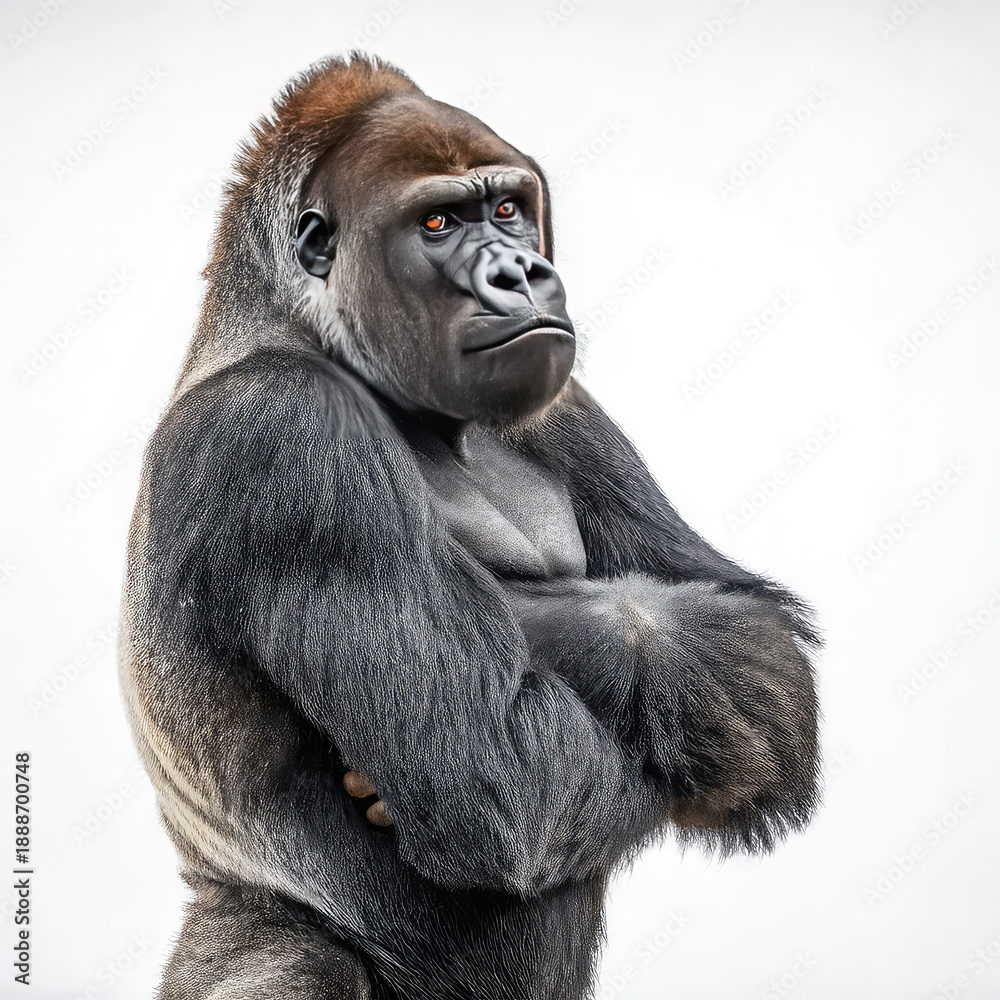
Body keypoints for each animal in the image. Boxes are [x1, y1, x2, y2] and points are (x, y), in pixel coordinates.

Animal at [119, 53, 820, 1000]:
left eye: (509, 209)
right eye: (438, 221)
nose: (519, 273)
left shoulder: (567, 405)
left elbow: (752, 627)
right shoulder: (283, 430)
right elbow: (500, 773)